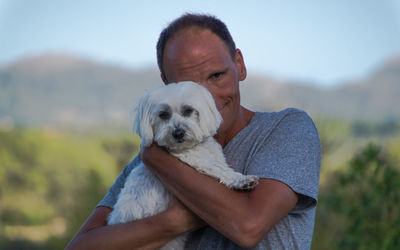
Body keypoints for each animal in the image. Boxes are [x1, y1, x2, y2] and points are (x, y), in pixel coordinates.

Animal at [108, 81, 260, 249]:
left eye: (188, 110)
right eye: (163, 115)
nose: (178, 133)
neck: (195, 147)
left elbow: (221, 166)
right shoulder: (195, 161)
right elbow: (220, 169)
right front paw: (241, 180)